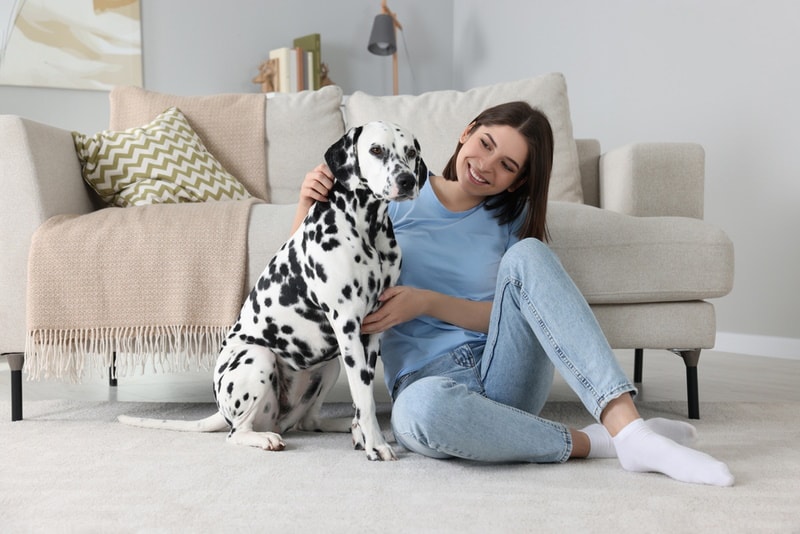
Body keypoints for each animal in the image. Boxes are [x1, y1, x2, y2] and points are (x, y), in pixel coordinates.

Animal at [118, 120, 424, 460]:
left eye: (410, 152)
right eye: (376, 149)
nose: (407, 180)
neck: (368, 230)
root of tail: (221, 410)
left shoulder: (371, 331)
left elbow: (364, 395)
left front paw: (365, 436)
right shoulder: (347, 324)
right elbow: (365, 399)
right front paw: (377, 445)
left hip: (329, 365)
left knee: (309, 421)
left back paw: (342, 425)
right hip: (258, 357)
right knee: (236, 433)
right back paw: (264, 438)